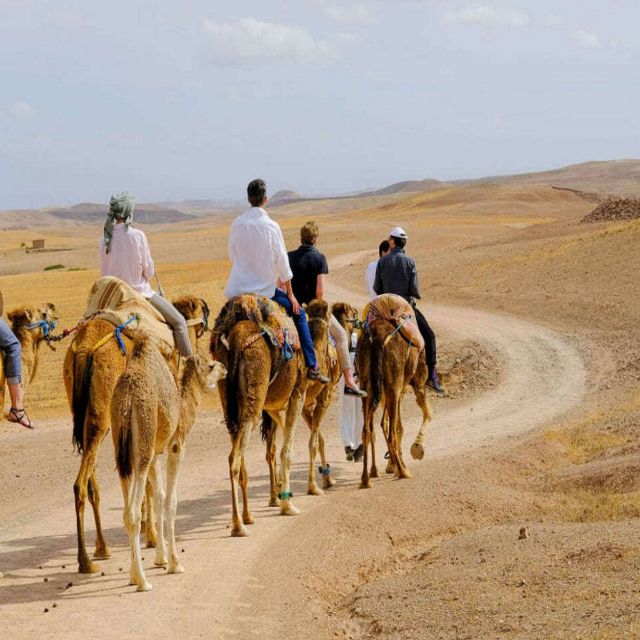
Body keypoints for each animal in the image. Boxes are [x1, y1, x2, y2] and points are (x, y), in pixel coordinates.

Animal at [62, 296, 209, 576]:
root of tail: (85, 349)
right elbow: (150, 483)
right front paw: (152, 538)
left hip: (86, 415)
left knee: (88, 480)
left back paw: (101, 548)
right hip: (102, 416)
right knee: (80, 483)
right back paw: (85, 560)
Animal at [112, 338, 225, 592]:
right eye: (210, 365)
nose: (224, 368)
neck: (183, 406)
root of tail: (127, 399)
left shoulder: (156, 451)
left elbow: (160, 497)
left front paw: (161, 558)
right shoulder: (176, 444)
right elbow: (171, 500)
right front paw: (175, 563)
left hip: (122, 450)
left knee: (126, 508)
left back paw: (134, 576)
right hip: (143, 441)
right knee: (132, 513)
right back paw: (143, 582)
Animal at [212, 298, 308, 536]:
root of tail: (236, 338)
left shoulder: (271, 404)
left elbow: (276, 446)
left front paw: (279, 494)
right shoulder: (297, 392)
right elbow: (286, 451)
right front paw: (287, 505)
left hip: (229, 399)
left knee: (240, 458)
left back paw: (247, 517)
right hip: (254, 399)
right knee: (234, 459)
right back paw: (238, 526)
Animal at [352, 298, 432, 488]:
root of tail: (377, 338)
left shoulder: (396, 391)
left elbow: (394, 425)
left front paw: (392, 464)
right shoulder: (417, 384)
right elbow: (427, 414)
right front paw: (416, 449)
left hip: (369, 386)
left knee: (367, 430)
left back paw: (367, 477)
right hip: (394, 384)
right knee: (390, 431)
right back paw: (403, 471)